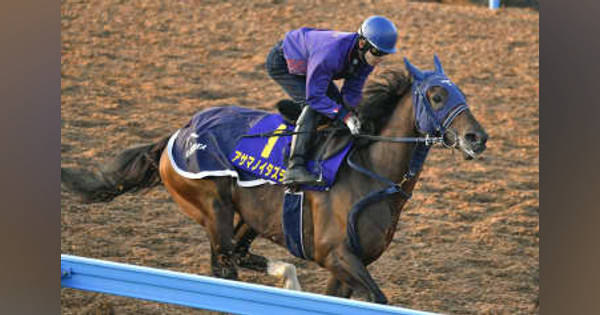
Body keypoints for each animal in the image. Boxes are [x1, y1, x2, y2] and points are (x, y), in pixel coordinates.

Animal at [62, 55, 488, 304]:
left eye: (461, 93)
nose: (477, 137)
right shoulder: (336, 255)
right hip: (211, 205)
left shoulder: (348, 264)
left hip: (250, 216)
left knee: (233, 255)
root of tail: (177, 134)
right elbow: (378, 299)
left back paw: (286, 277)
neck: (370, 172)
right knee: (224, 264)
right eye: (435, 96)